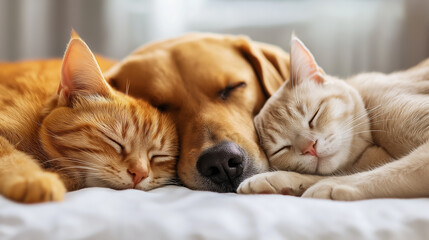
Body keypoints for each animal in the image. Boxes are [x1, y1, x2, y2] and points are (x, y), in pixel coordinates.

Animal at [239, 36, 429, 201]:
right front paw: (276, 180)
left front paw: (331, 185)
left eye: (314, 116)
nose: (310, 147)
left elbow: (390, 171)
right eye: (282, 148)